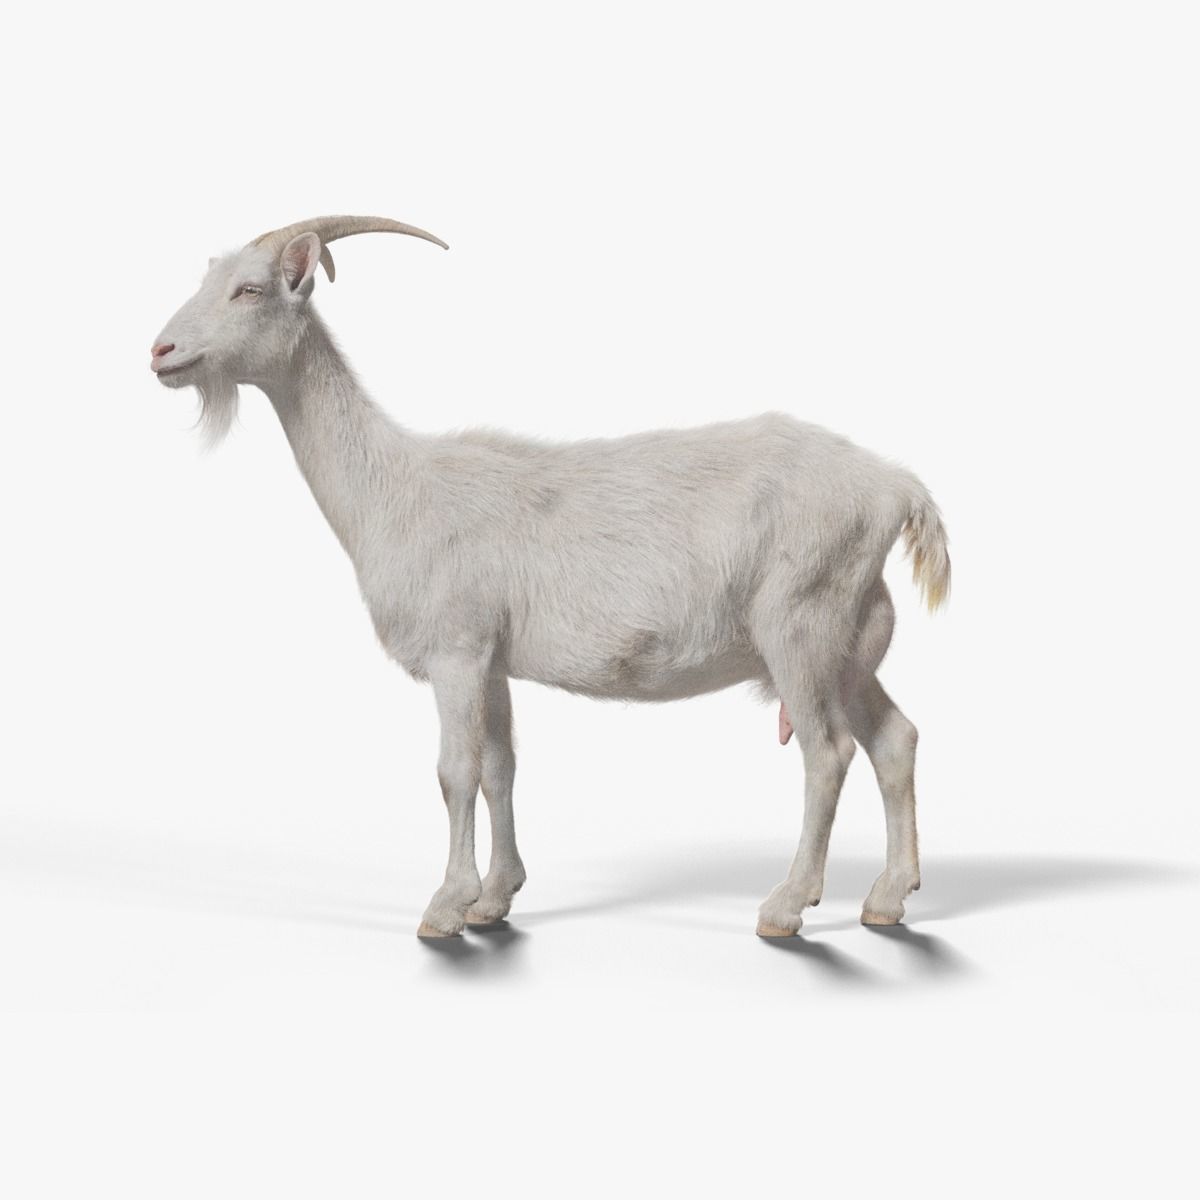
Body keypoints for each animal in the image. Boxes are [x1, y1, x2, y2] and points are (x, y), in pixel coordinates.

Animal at [151, 215, 950, 939]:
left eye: (250, 289)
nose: (161, 351)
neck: (394, 487)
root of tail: (895, 487)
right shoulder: (493, 658)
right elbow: (500, 766)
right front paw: (494, 898)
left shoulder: (456, 648)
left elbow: (455, 771)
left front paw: (445, 907)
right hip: (852, 632)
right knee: (896, 739)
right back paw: (889, 896)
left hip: (799, 621)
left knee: (828, 752)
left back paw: (787, 907)